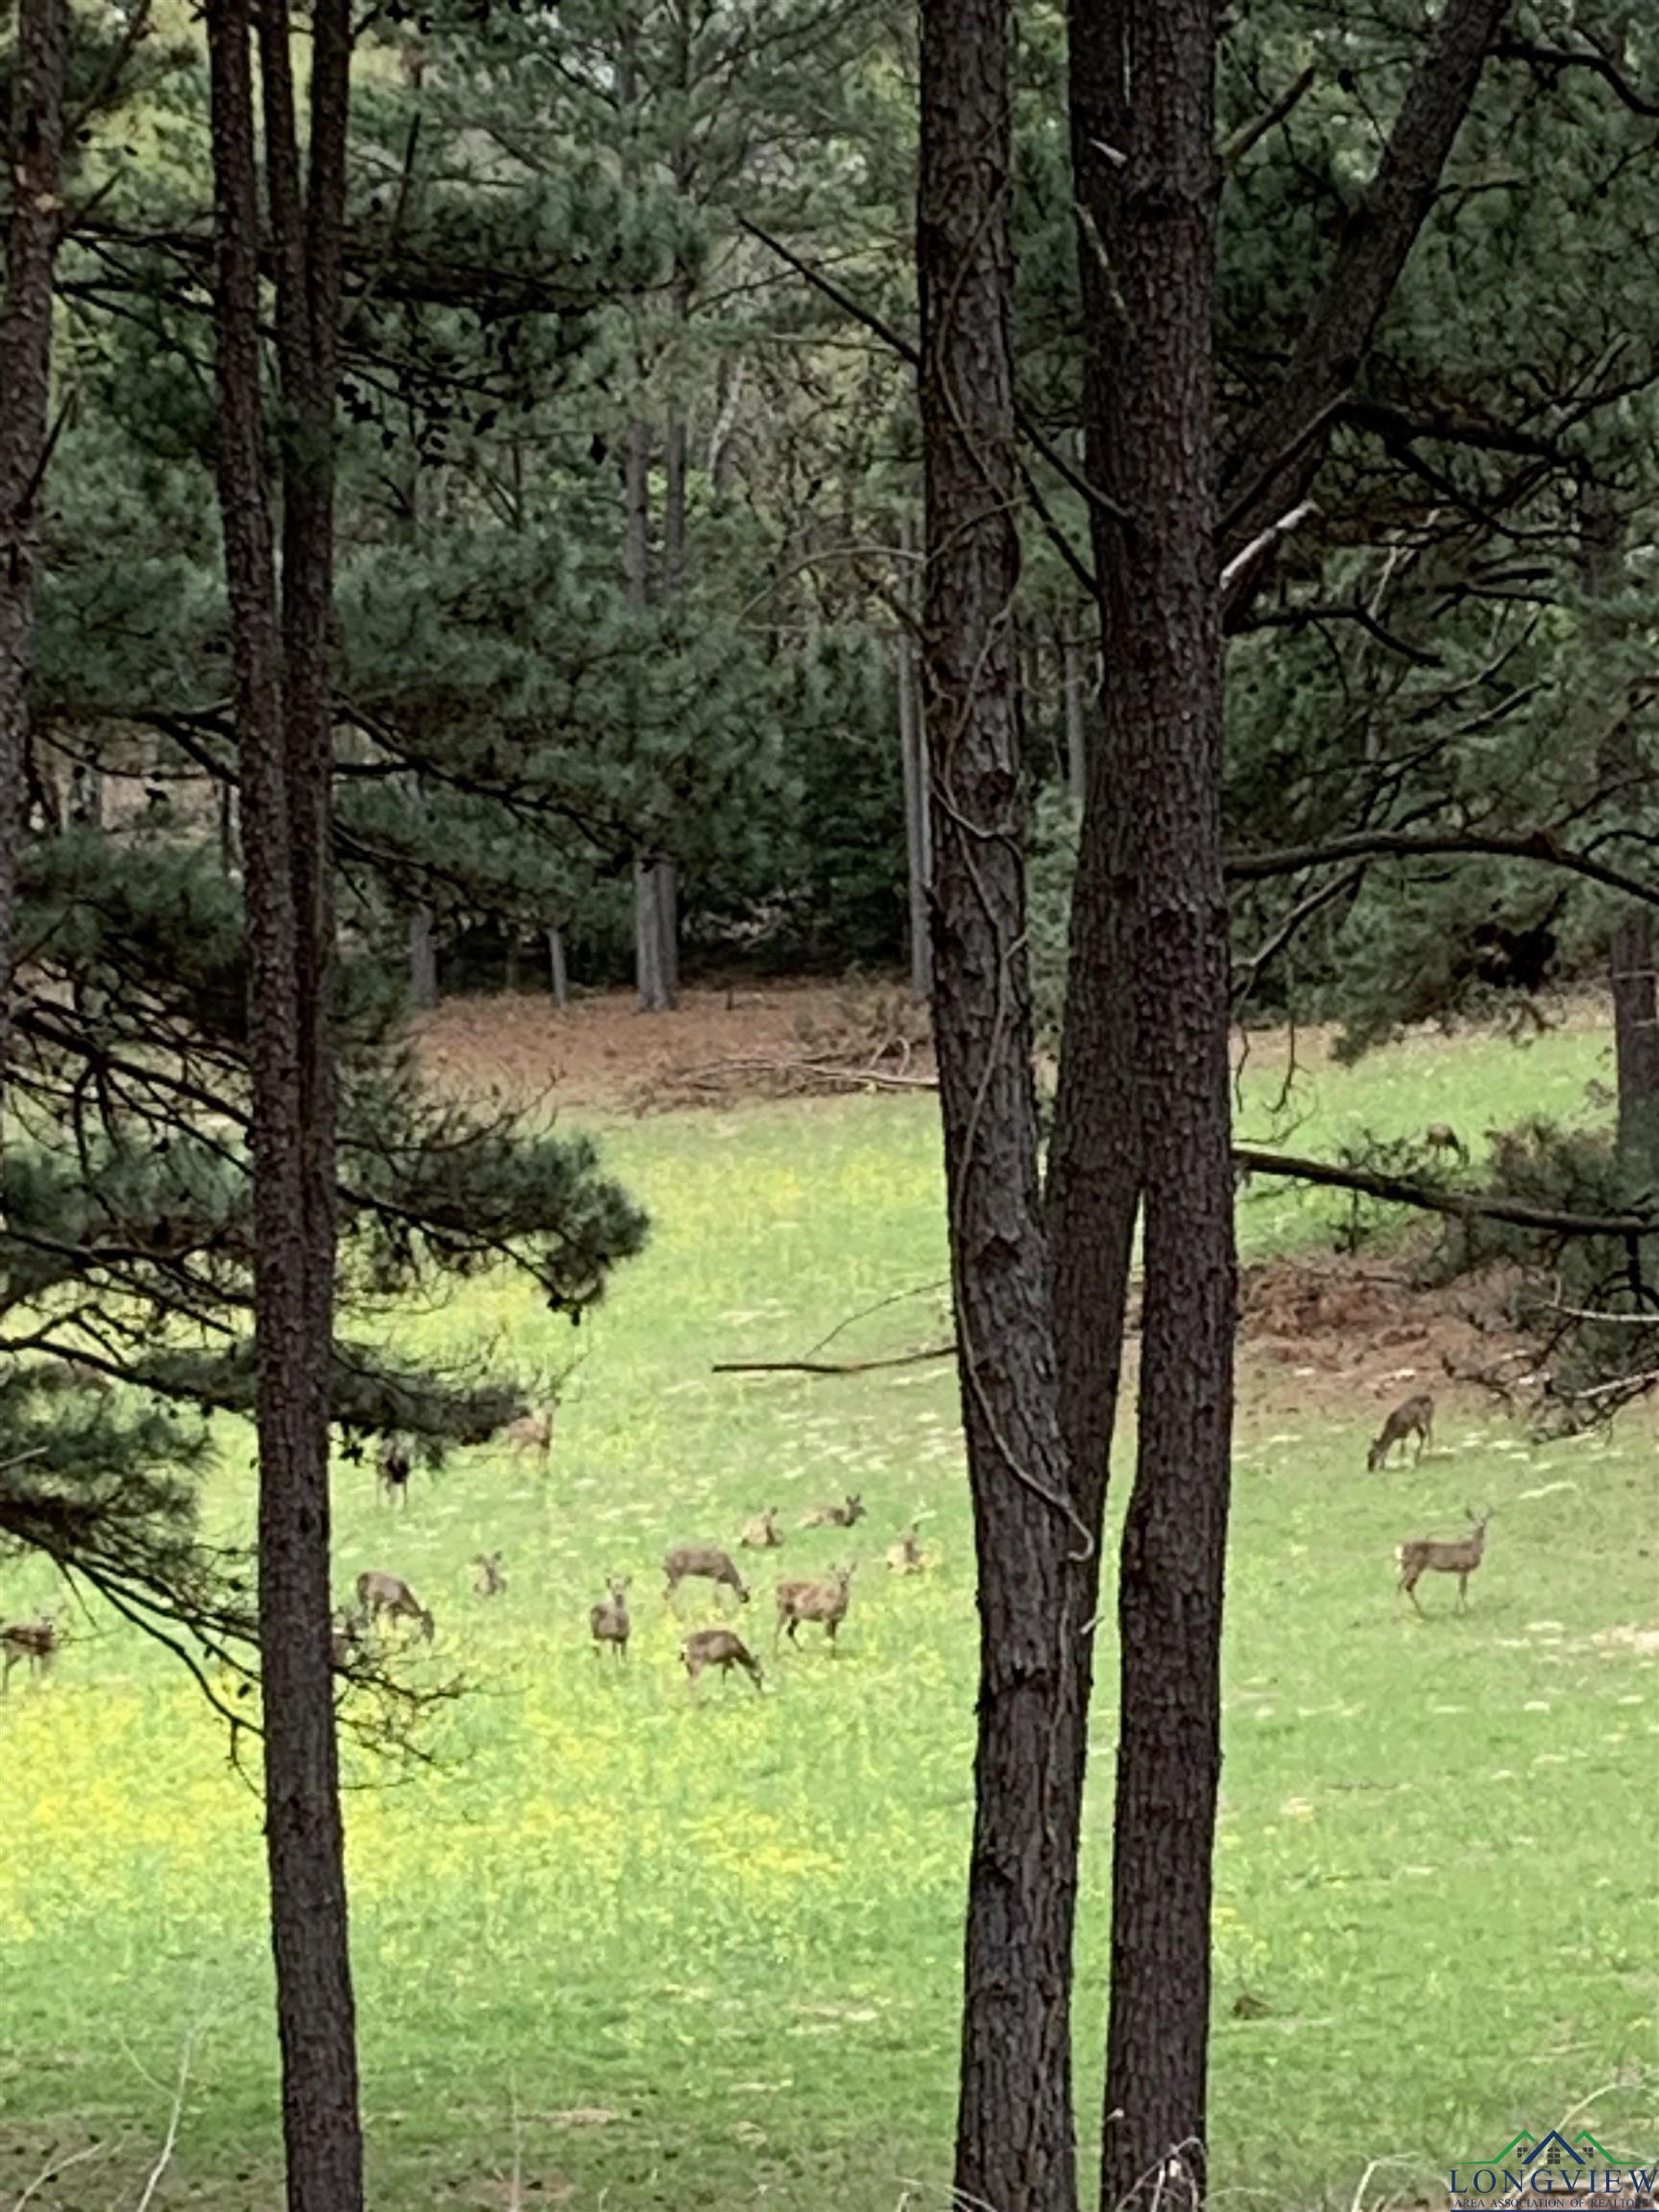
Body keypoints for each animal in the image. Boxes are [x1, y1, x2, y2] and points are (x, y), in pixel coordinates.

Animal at [1407, 1495, 1495, 1619]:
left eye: (1484, 1520)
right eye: (1474, 1520)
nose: (1481, 1526)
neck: (1472, 1548)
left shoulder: (1464, 1571)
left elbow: (1462, 1589)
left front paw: (1460, 1610)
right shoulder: (1462, 1567)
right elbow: (1462, 1589)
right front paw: (1463, 1611)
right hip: (1416, 1567)